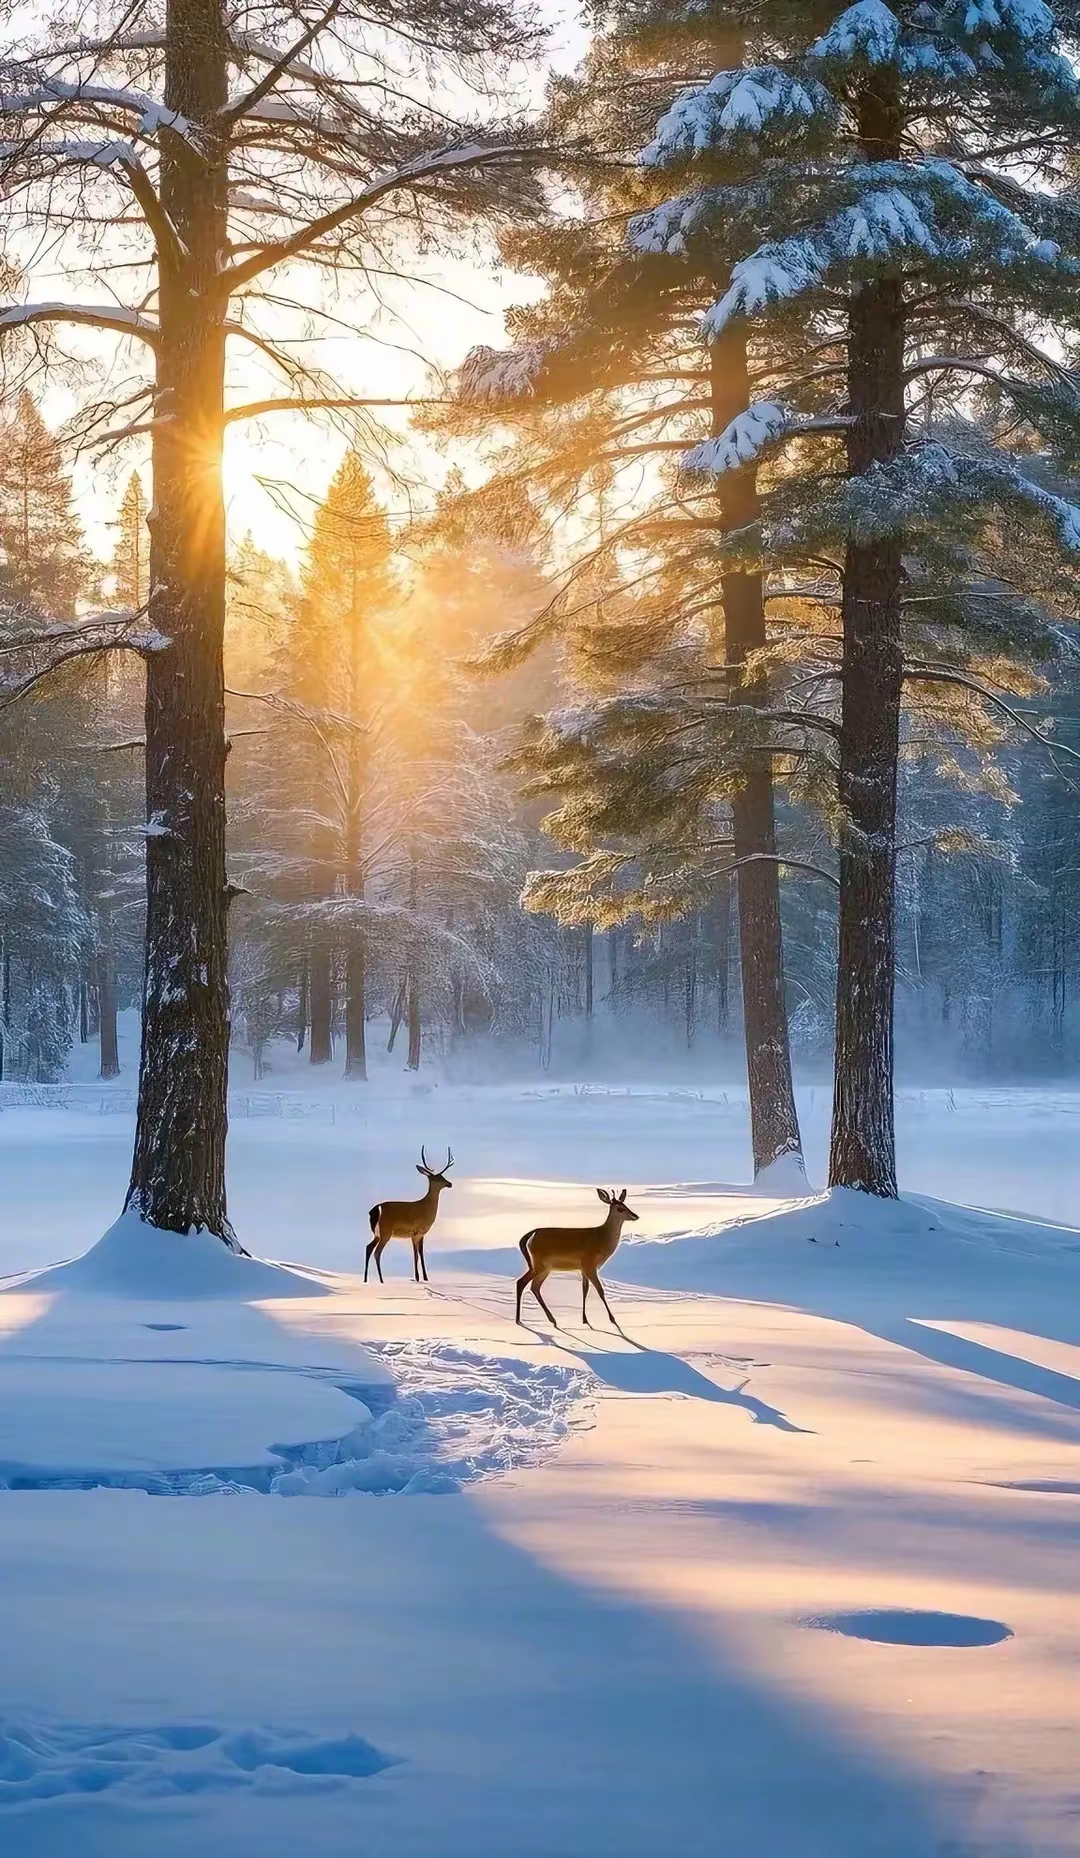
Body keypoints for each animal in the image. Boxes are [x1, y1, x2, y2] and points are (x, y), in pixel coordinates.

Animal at [366, 1146, 454, 1285]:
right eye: (438, 1178)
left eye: (443, 1176)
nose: (450, 1183)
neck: (426, 1208)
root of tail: (375, 1210)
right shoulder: (415, 1231)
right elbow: (416, 1254)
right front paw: (417, 1277)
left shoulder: (421, 1233)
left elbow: (421, 1253)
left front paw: (425, 1277)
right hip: (386, 1231)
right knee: (377, 1252)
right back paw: (381, 1280)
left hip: (377, 1233)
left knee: (368, 1248)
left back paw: (365, 1279)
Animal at [516, 1188, 639, 1327]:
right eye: (620, 1208)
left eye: (625, 1205)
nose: (635, 1216)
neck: (602, 1240)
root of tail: (531, 1235)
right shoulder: (589, 1264)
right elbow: (600, 1290)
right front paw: (613, 1320)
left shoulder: (583, 1267)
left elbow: (584, 1290)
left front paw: (585, 1319)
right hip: (540, 1264)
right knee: (525, 1283)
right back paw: (523, 1319)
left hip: (541, 1266)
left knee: (531, 1285)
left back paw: (547, 1319)